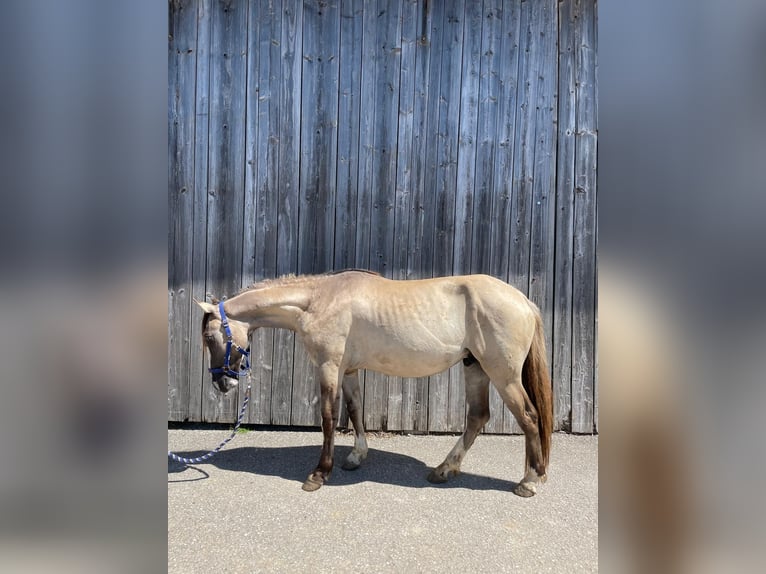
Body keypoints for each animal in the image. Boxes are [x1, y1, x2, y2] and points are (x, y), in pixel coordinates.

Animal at [194, 269, 553, 497]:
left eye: (210, 337)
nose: (222, 384)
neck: (319, 300)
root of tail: (523, 301)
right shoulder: (349, 371)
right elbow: (354, 411)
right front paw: (356, 457)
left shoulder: (329, 367)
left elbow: (328, 418)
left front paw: (319, 474)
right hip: (474, 366)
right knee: (478, 417)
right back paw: (444, 470)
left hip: (503, 374)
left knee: (529, 417)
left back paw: (530, 480)